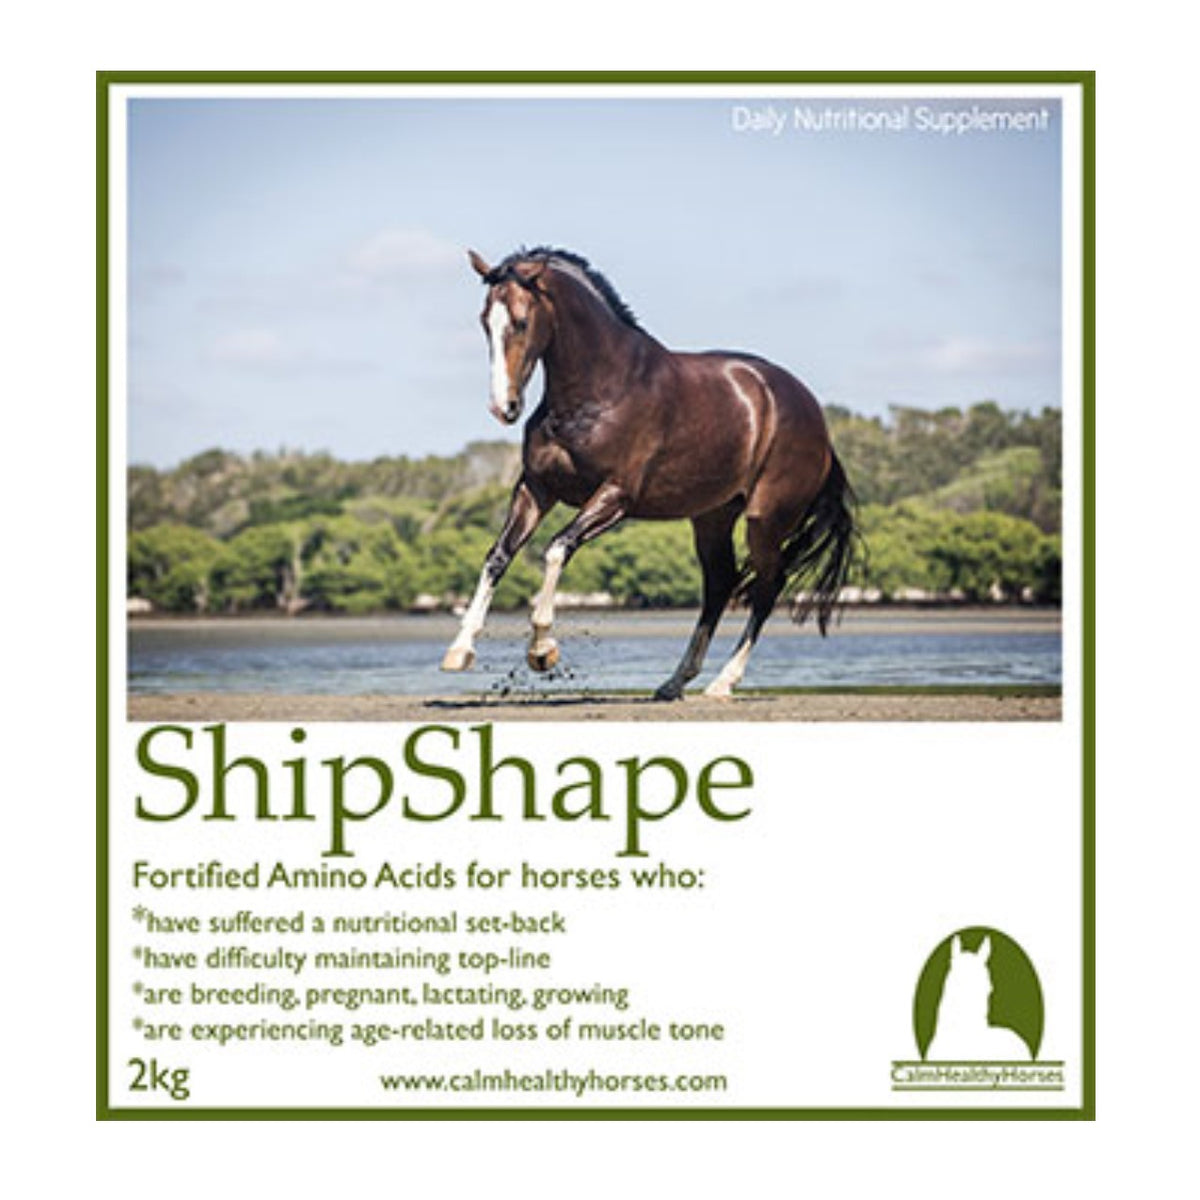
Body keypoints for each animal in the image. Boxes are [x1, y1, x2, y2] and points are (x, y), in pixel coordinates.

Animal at [440, 246, 858, 700]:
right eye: (485, 321)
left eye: (520, 321)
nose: (504, 408)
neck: (599, 392)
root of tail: (812, 413)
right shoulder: (536, 489)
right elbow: (498, 556)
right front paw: (459, 651)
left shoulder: (616, 496)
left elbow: (556, 548)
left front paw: (542, 650)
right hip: (712, 517)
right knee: (720, 584)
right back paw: (675, 681)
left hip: (765, 519)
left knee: (768, 585)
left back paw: (723, 682)